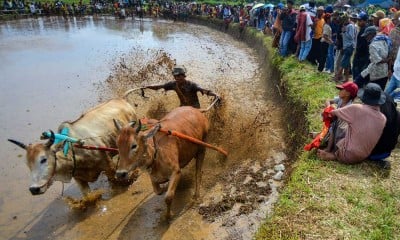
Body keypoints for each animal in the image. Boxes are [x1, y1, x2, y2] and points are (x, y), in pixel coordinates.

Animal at [7, 98, 136, 197]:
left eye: (43, 159)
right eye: (27, 164)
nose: (34, 189)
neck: (72, 150)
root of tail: (121, 100)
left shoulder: (109, 167)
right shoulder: (79, 179)